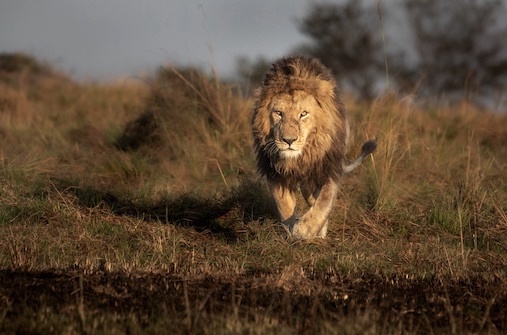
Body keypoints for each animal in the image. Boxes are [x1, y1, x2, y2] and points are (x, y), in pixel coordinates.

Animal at [251, 55, 376, 239]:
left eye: (303, 114)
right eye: (278, 113)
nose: (288, 140)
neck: (300, 157)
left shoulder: (330, 168)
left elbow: (324, 202)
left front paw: (304, 230)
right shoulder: (274, 172)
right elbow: (284, 205)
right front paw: (292, 230)